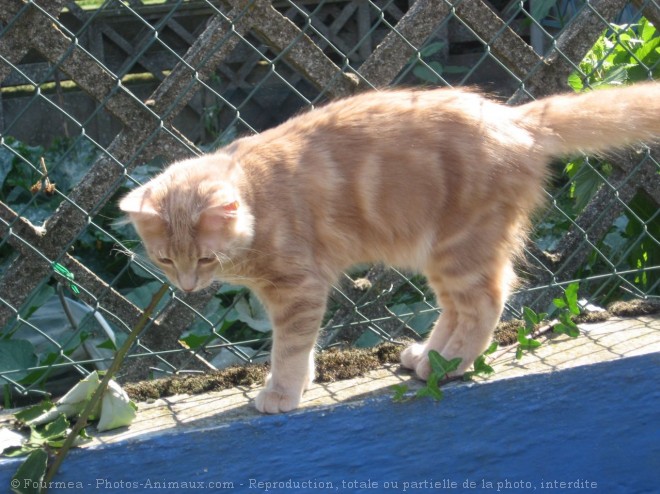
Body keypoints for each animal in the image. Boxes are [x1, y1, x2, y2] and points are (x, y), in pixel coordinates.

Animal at [121, 84, 660, 412]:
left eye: (204, 257)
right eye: (165, 259)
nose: (187, 286)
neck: (257, 194)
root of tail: (513, 119)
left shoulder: (298, 289)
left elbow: (289, 347)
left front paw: (282, 392)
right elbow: (302, 347)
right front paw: (303, 379)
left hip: (458, 249)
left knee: (488, 301)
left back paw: (452, 367)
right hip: (439, 258)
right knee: (457, 310)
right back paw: (430, 357)